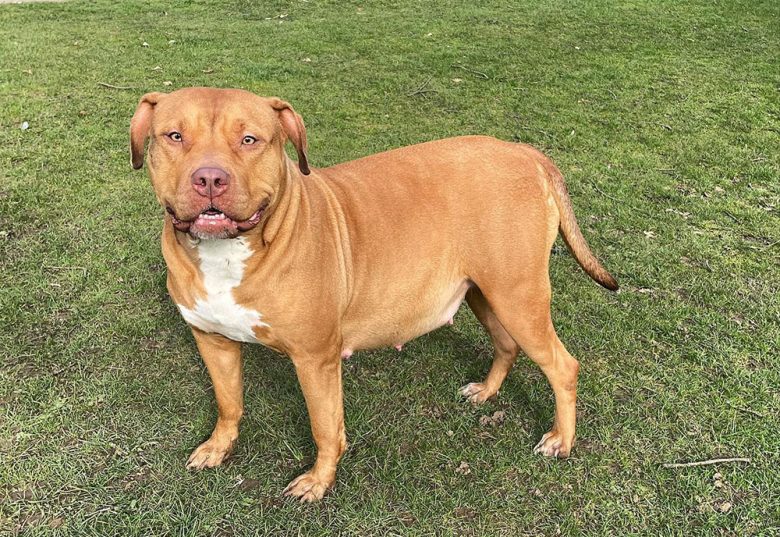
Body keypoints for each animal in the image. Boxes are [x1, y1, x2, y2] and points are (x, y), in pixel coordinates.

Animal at [131, 88, 620, 502]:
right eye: (174, 136)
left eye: (250, 139)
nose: (209, 178)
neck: (227, 252)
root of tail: (524, 152)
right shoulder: (211, 340)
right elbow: (228, 402)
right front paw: (219, 447)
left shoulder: (316, 359)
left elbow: (325, 427)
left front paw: (318, 482)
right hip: (485, 293)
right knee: (506, 344)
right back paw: (486, 391)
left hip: (518, 296)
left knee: (562, 366)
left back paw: (561, 440)